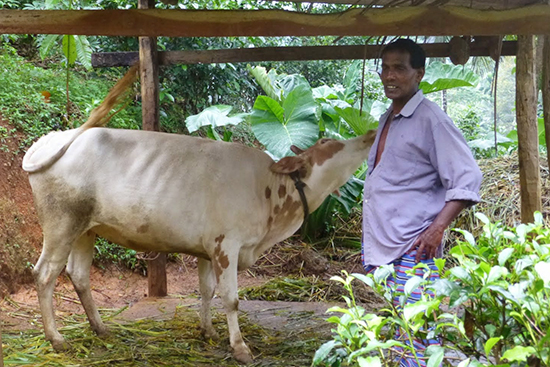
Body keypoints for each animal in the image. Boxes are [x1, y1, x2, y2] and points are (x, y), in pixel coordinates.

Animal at [20, 67, 376, 366]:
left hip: (86, 228)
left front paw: (209, 331)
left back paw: (100, 328)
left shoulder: (208, 248)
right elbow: (231, 299)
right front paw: (240, 347)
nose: (370, 134)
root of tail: (55, 137)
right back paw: (56, 338)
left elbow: (207, 291)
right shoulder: (226, 244)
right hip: (61, 225)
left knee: (78, 274)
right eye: (328, 141)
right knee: (45, 275)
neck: (271, 197)